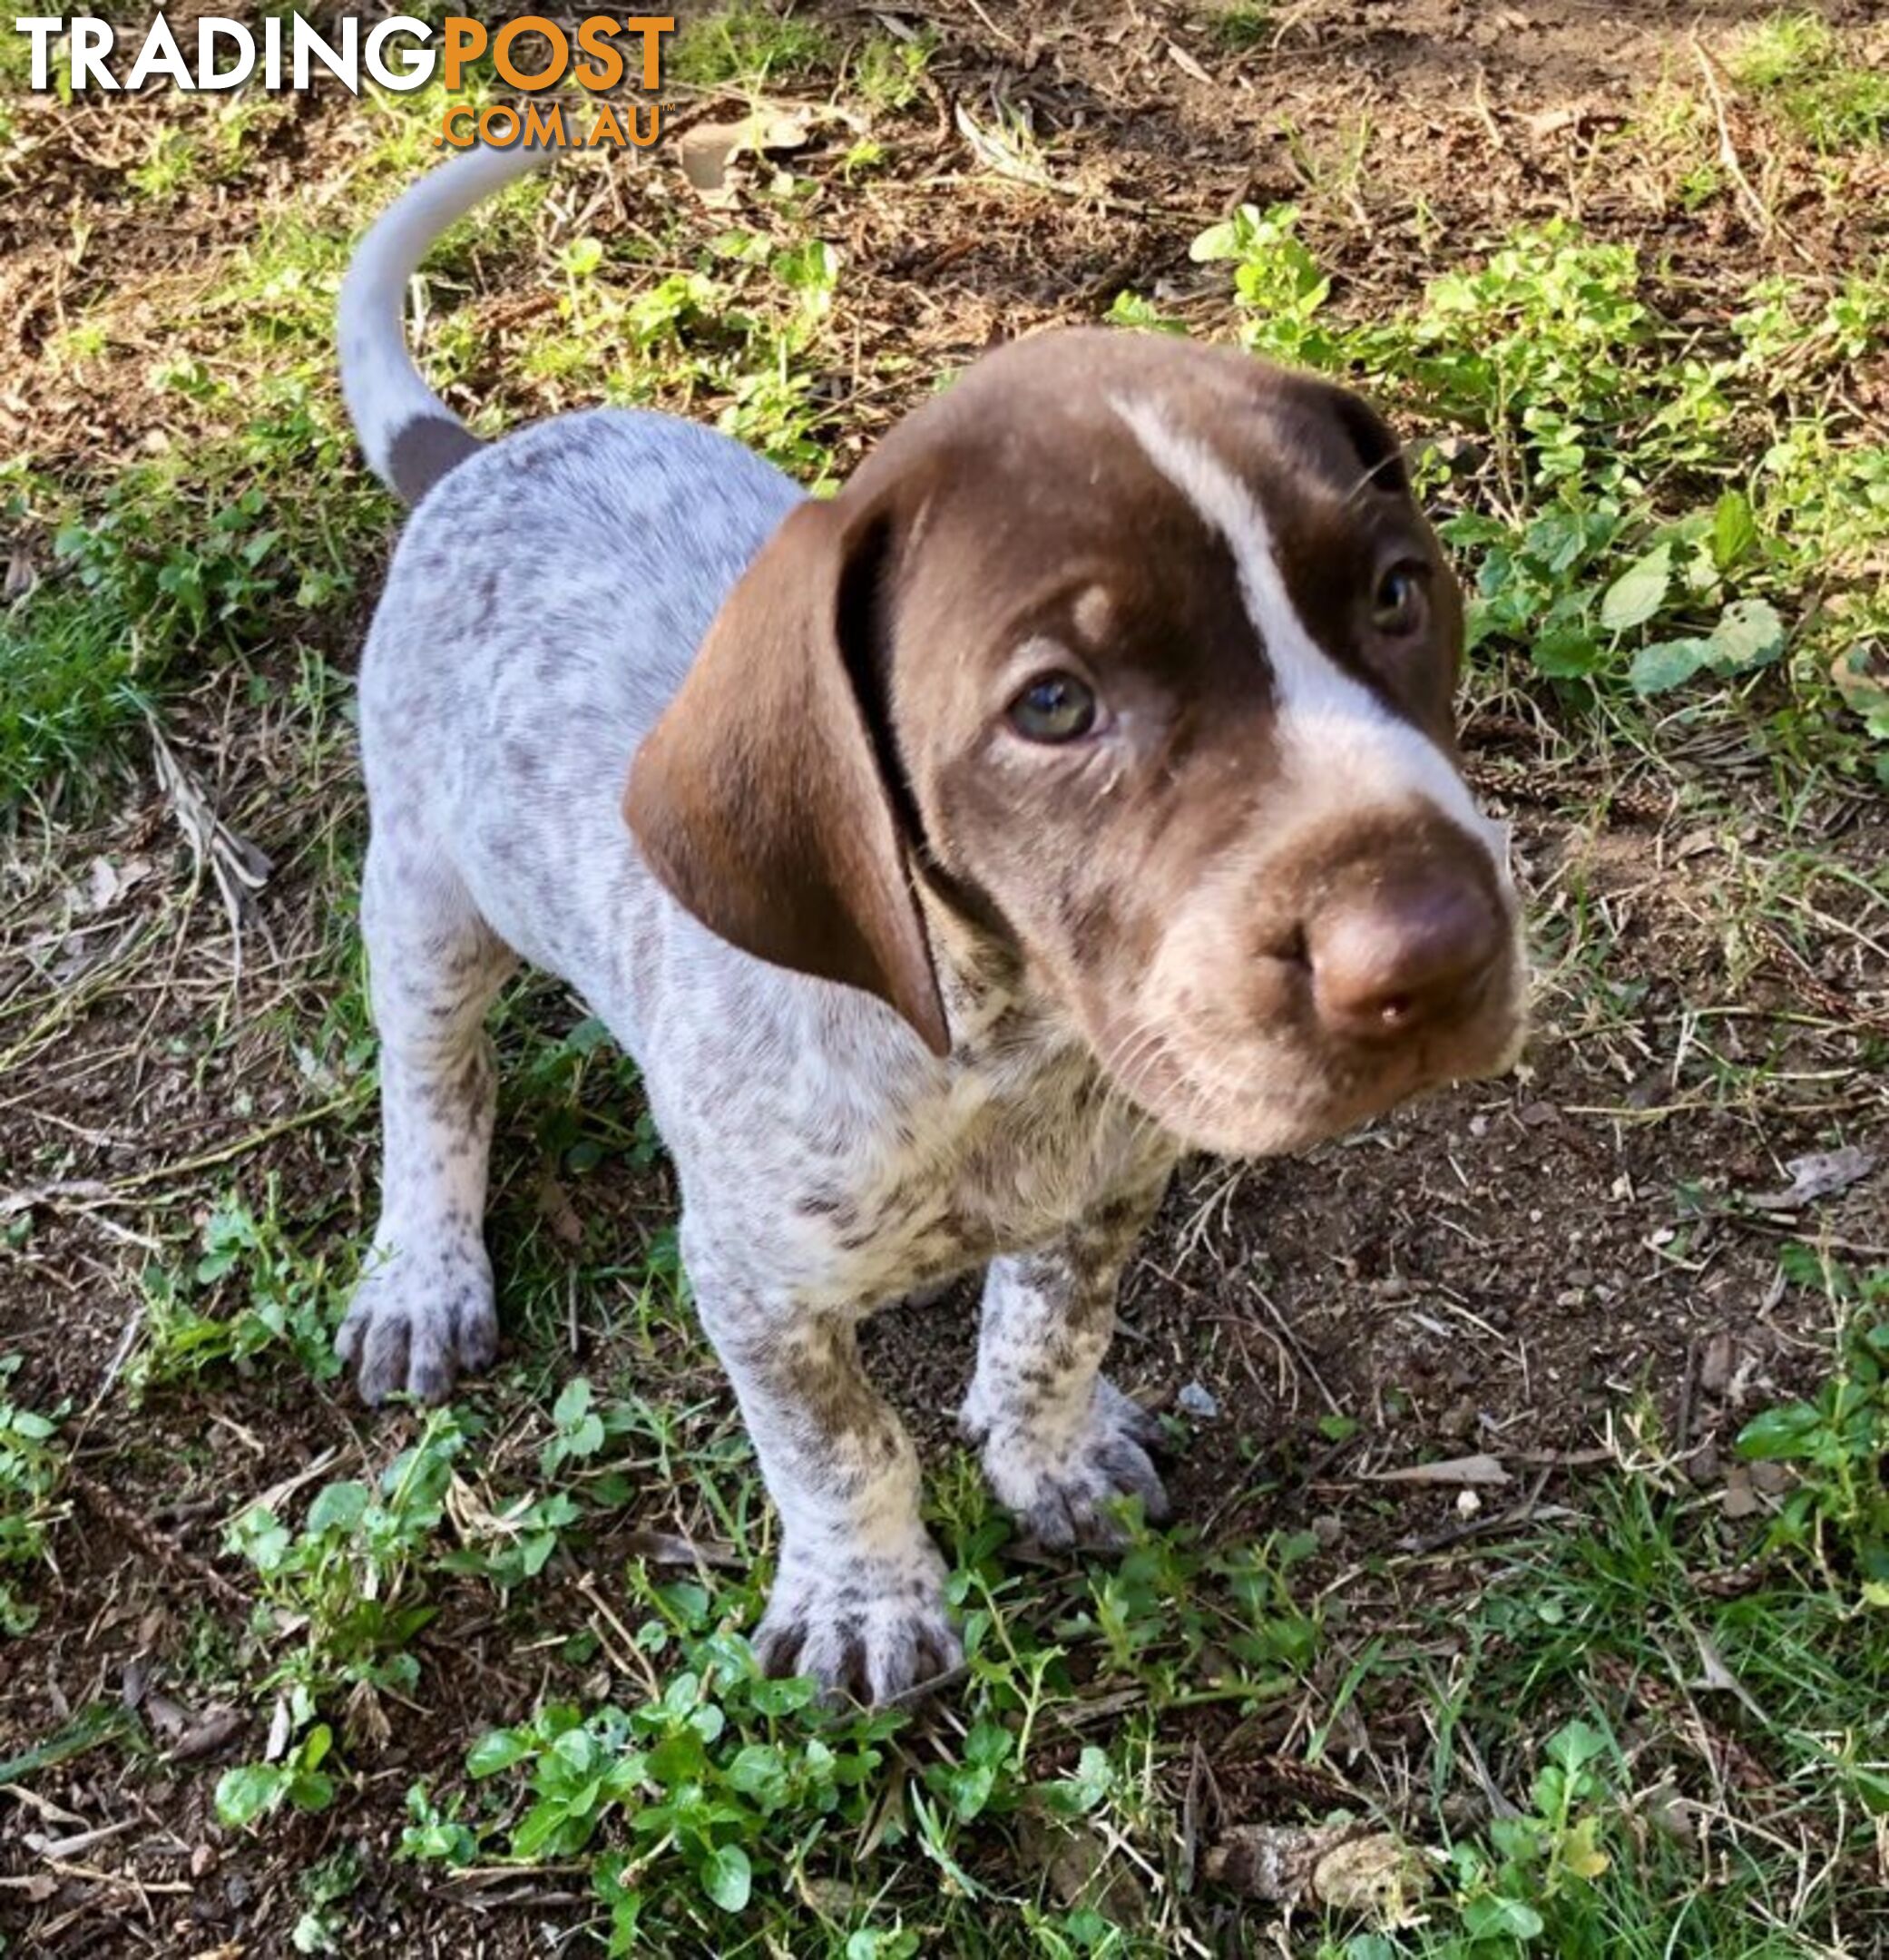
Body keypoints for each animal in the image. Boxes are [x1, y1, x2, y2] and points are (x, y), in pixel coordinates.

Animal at [330, 144, 1528, 1700]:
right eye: (1053, 704)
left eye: (1396, 593)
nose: (1433, 951)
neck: (1000, 1048)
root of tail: (471, 460)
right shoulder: (749, 1279)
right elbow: (839, 1446)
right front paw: (867, 1598)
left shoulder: (1108, 1180)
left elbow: (1050, 1329)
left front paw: (1048, 1453)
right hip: (427, 890)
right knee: (434, 1081)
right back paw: (423, 1270)